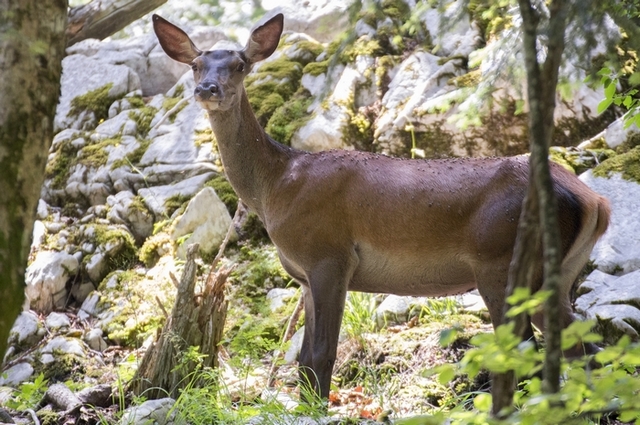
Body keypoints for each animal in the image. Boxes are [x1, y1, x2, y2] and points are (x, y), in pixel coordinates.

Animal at [152, 11, 612, 400]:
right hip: (556, 273)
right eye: (196, 64)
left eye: (240, 64)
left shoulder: (330, 255)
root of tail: (594, 200)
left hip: (502, 260)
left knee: (528, 348)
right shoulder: (304, 276)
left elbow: (321, 354)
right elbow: (303, 360)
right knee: (584, 348)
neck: (277, 187)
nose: (207, 89)